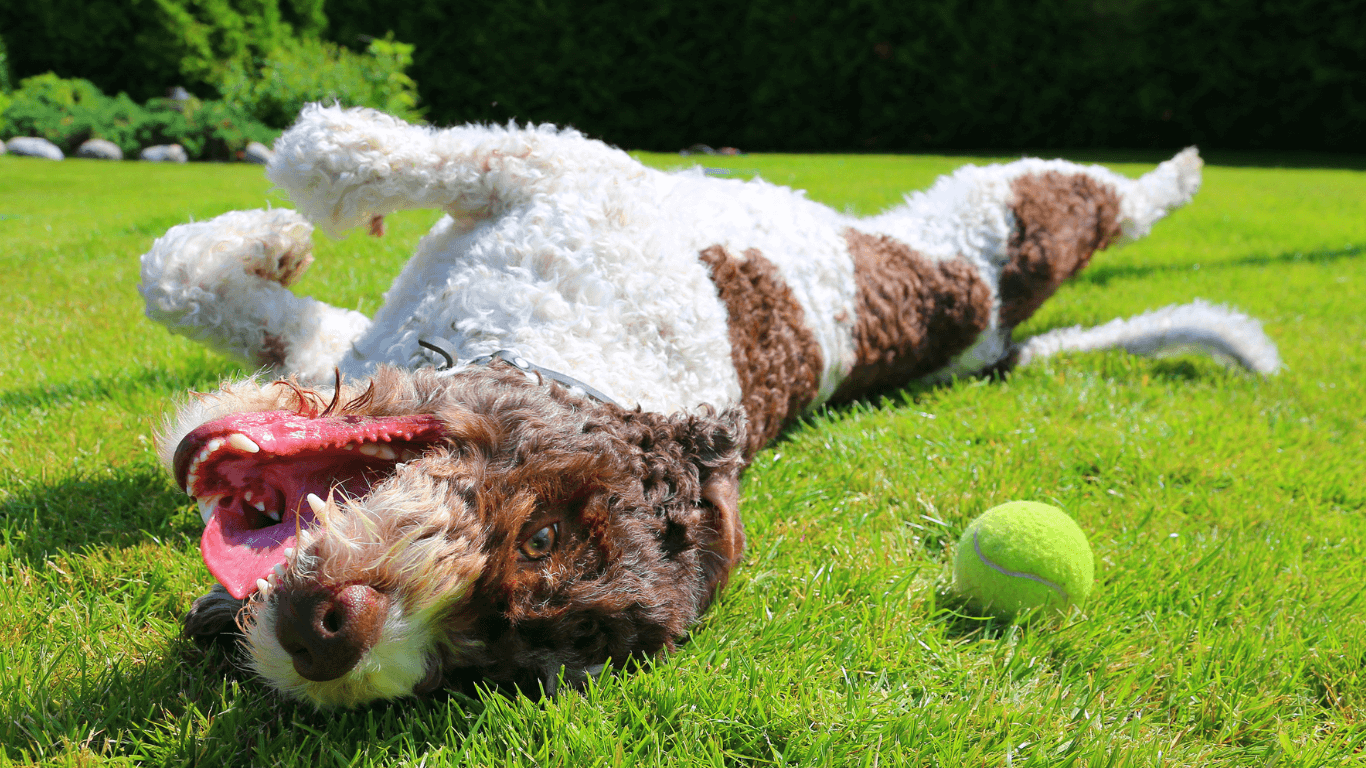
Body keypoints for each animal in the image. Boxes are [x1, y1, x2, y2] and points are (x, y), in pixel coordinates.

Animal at [138, 103, 1278, 705]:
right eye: (546, 533)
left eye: (479, 660)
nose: (334, 638)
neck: (575, 349)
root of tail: (994, 330)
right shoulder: (536, 181)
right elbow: (227, 253)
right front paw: (274, 236)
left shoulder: (544, 165)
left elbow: (320, 170)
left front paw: (280, 218)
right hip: (975, 218)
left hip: (1015, 216)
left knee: (1110, 200)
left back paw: (1181, 169)